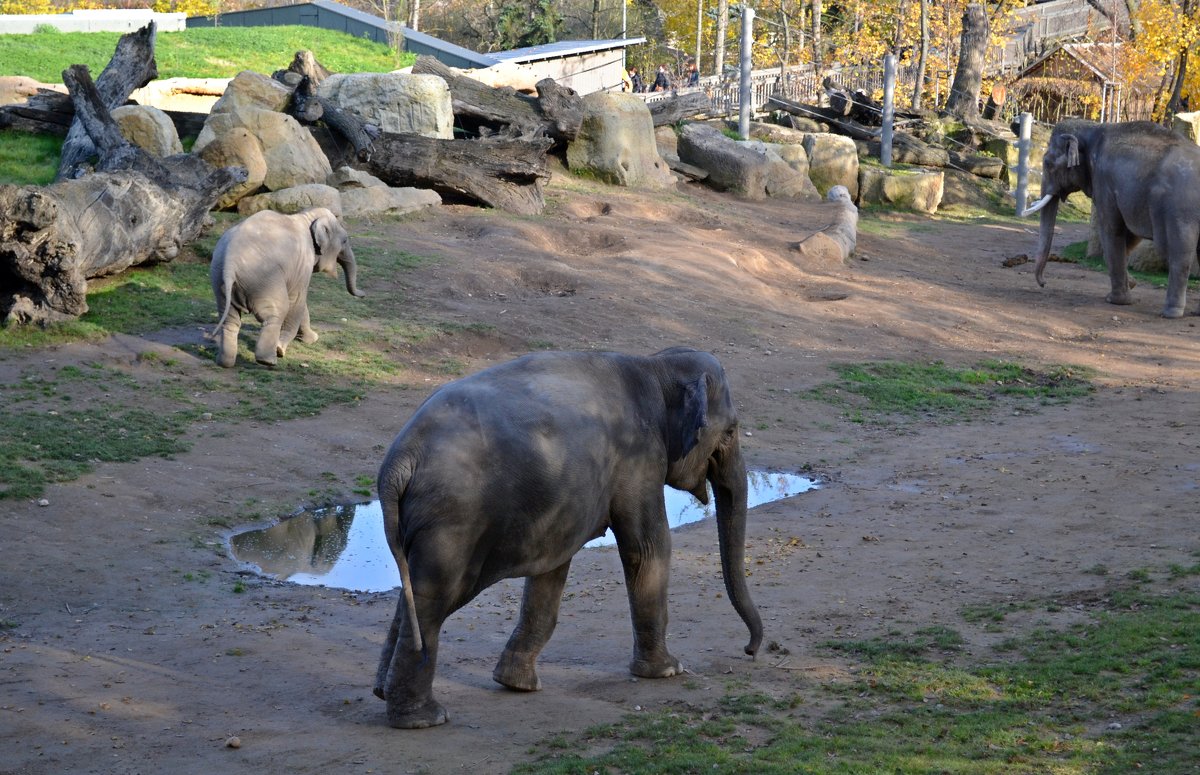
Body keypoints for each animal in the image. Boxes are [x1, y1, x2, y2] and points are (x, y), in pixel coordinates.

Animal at [208, 207, 362, 369]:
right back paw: (268, 360)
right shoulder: (304, 263)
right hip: (265, 279)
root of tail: (230, 262)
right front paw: (281, 349)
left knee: (230, 320)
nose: (363, 294)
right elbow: (297, 300)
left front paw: (312, 338)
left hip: (220, 280)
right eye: (345, 240)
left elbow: (300, 303)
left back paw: (225, 363)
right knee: (276, 313)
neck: (307, 216)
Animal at [374, 350, 763, 734]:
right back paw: (423, 719)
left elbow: (554, 565)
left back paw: (384, 695)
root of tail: (401, 458)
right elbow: (647, 549)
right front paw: (669, 671)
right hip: (453, 521)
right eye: (731, 430)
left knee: (413, 592)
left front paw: (516, 684)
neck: (654, 366)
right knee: (435, 596)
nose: (750, 651)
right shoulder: (639, 458)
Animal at [1022, 119, 1200, 319]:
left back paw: (1171, 313)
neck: (1093, 128)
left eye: (1048, 164)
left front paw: (1115, 300)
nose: (1044, 283)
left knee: (1178, 253)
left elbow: (1112, 229)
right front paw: (1131, 283)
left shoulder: (1104, 181)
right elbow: (1130, 236)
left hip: (1179, 208)